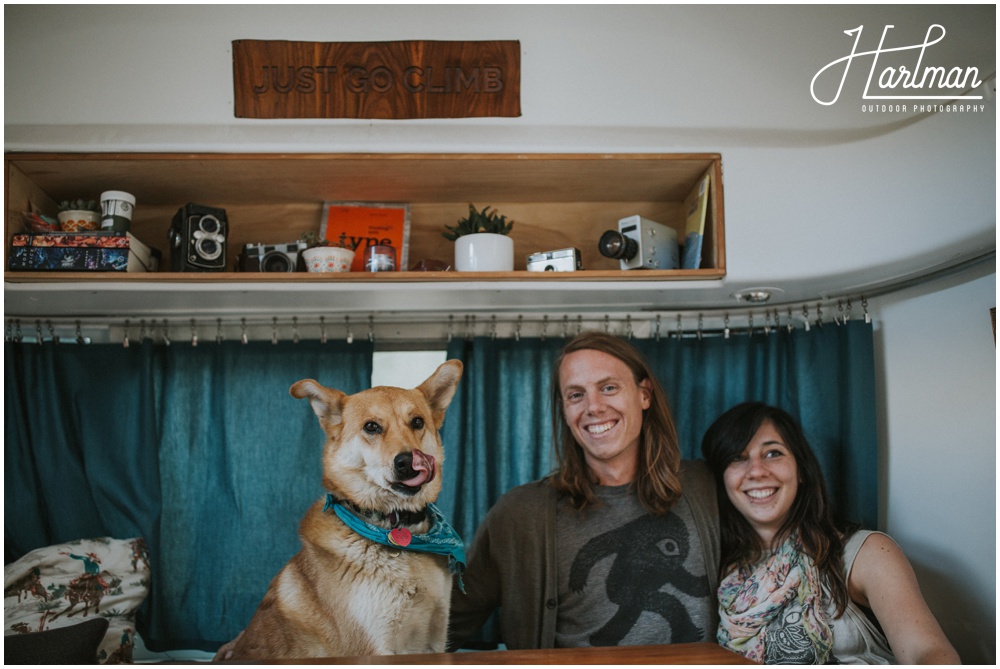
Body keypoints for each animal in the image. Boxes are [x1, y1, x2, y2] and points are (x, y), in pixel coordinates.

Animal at [218, 360, 464, 656]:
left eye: (417, 422)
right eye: (371, 427)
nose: (407, 462)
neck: (394, 533)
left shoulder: (434, 641)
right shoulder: (375, 649)